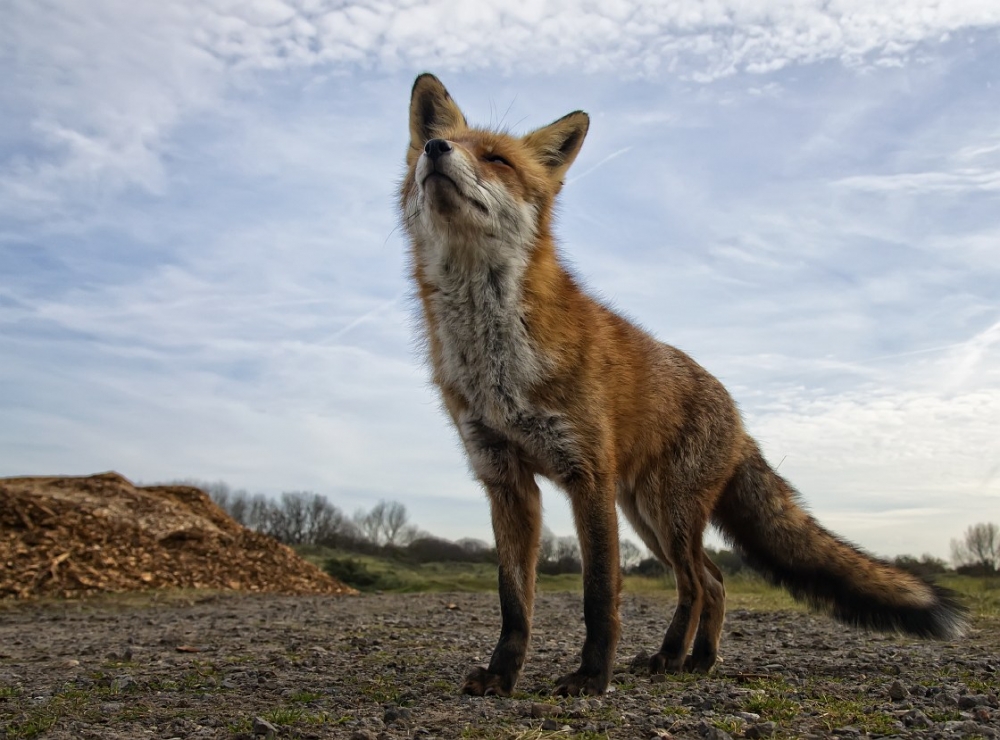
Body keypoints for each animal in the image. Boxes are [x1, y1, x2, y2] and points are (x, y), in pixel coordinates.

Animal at [400, 72, 968, 696]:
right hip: (646, 515)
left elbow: (599, 596)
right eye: (441, 143)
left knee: (697, 582)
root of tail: (738, 417)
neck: (496, 362)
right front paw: (503, 674)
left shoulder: (587, 475)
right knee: (713, 580)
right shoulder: (505, 480)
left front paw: (591, 677)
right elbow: (513, 601)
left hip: (664, 512)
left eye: (497, 158)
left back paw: (672, 656)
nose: (435, 149)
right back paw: (698, 659)